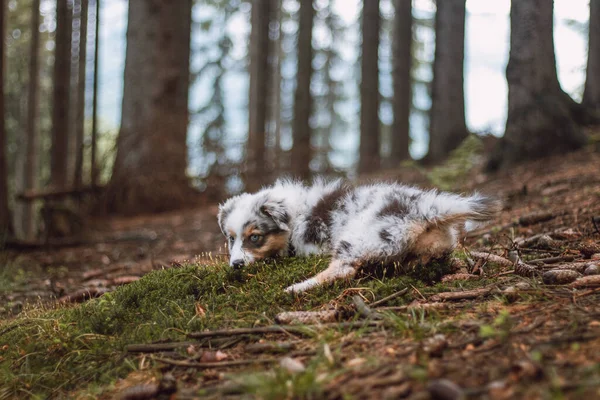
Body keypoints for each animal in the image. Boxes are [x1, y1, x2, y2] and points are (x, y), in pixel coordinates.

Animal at [218, 180, 500, 292]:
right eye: (231, 238)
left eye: (255, 237)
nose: (236, 265)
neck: (295, 214)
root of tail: (427, 209)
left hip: (357, 238)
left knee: (342, 270)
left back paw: (296, 288)